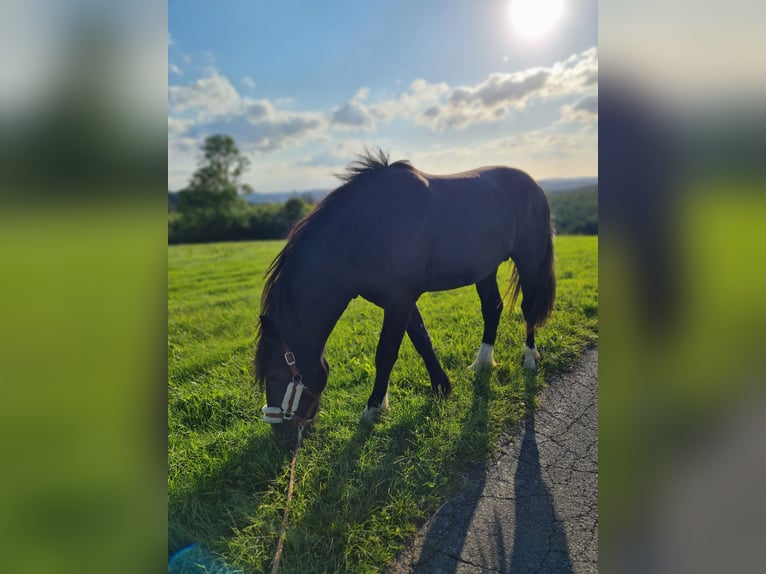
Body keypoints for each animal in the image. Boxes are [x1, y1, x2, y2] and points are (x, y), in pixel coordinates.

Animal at [255, 151, 556, 430]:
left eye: (274, 375)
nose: (281, 438)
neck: (366, 229)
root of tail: (535, 185)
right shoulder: (399, 300)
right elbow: (422, 340)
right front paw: (441, 388)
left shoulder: (400, 298)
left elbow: (386, 352)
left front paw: (374, 408)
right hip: (485, 269)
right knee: (492, 308)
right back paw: (482, 363)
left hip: (529, 260)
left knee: (528, 308)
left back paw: (530, 359)